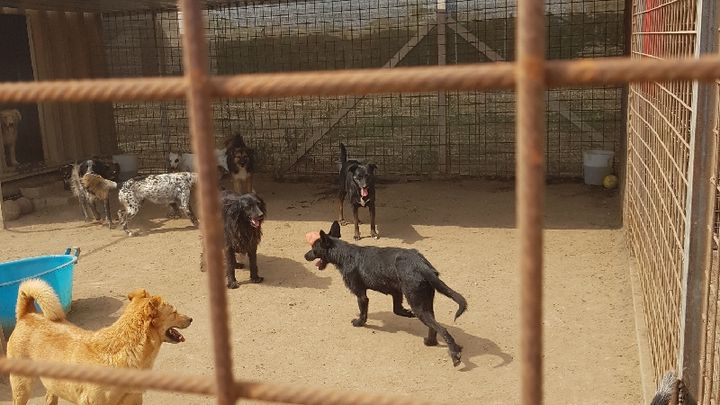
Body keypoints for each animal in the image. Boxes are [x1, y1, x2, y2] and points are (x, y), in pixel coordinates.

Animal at [7, 279, 192, 405]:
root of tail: (27, 313)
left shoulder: (134, 399)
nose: (191, 319)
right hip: (22, 386)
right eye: (174, 311)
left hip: (52, 384)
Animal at [304, 221, 467, 366]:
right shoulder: (396, 292)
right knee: (433, 326)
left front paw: (359, 323)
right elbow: (397, 309)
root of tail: (422, 265)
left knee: (442, 329)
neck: (344, 254)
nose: (305, 256)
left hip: (419, 306)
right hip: (425, 304)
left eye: (313, 248)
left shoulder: (361, 295)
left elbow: (364, 313)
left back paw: (455, 355)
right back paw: (430, 342)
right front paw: (407, 313)